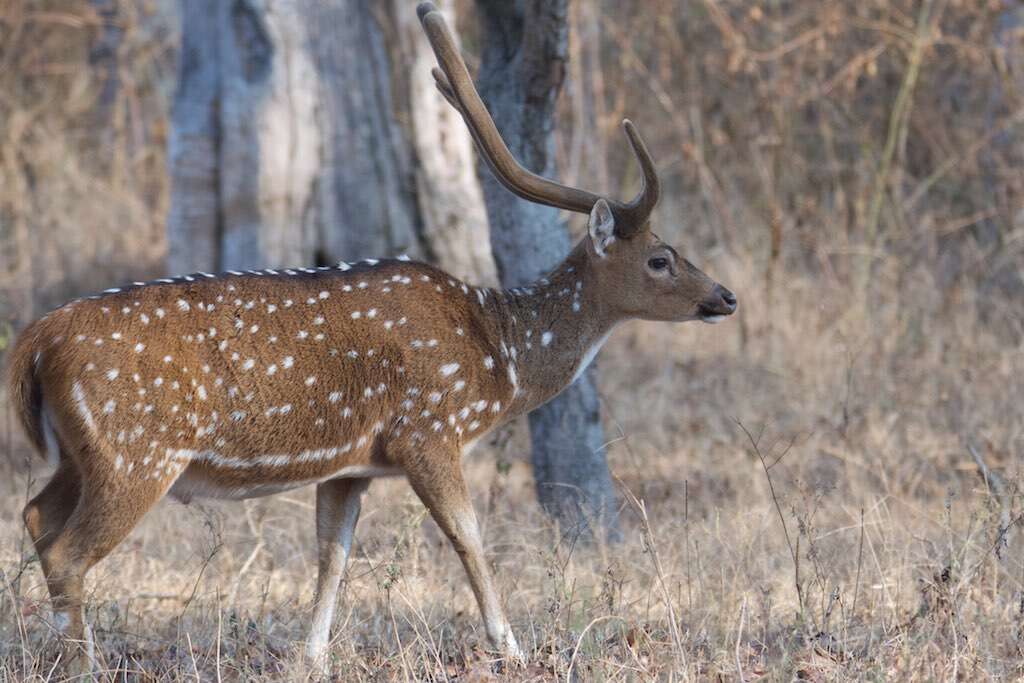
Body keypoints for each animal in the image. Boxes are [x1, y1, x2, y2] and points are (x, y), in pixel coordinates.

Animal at [4, 1, 733, 667]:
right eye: (661, 258)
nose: (724, 296)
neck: (499, 358)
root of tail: (36, 341)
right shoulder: (427, 428)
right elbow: (469, 537)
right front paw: (512, 648)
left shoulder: (351, 464)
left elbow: (333, 554)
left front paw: (312, 657)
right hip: (138, 452)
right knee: (68, 550)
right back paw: (82, 662)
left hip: (83, 452)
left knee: (36, 517)